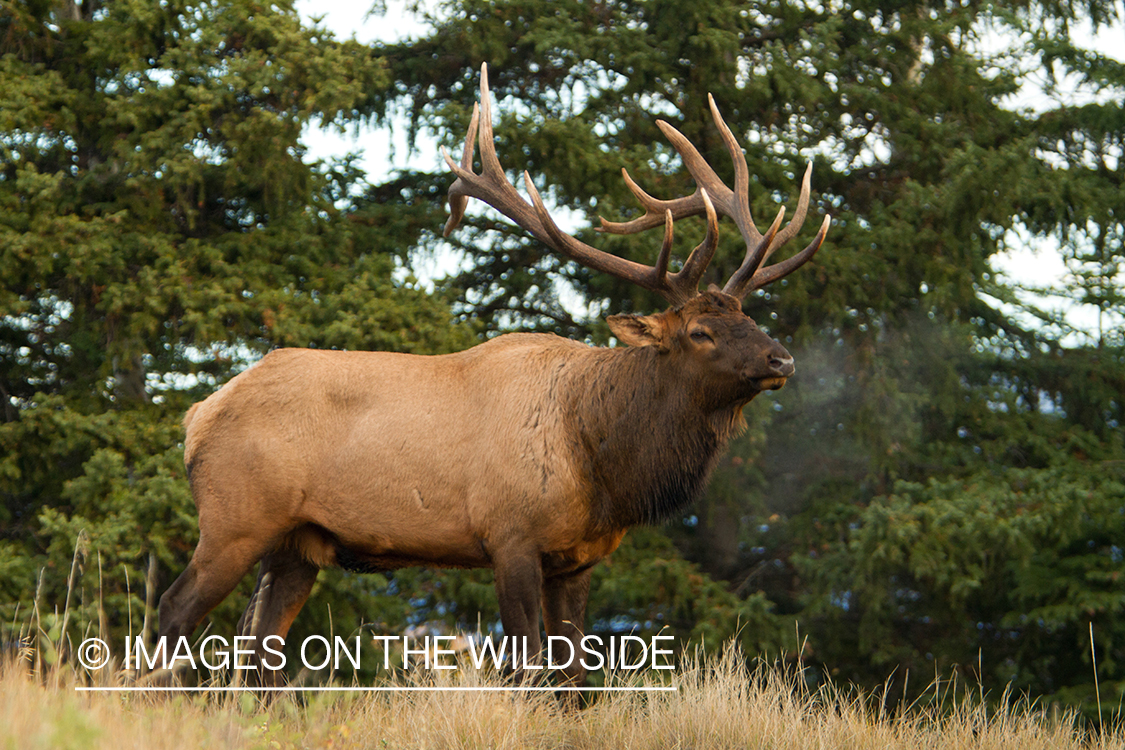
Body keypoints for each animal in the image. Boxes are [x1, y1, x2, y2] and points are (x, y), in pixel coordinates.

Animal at [156, 62, 828, 688]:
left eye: (749, 316)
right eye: (699, 332)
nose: (782, 360)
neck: (601, 462)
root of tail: (197, 415)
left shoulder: (578, 559)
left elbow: (572, 674)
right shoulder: (510, 535)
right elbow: (526, 667)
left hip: (297, 541)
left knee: (260, 648)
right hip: (235, 518)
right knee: (174, 608)